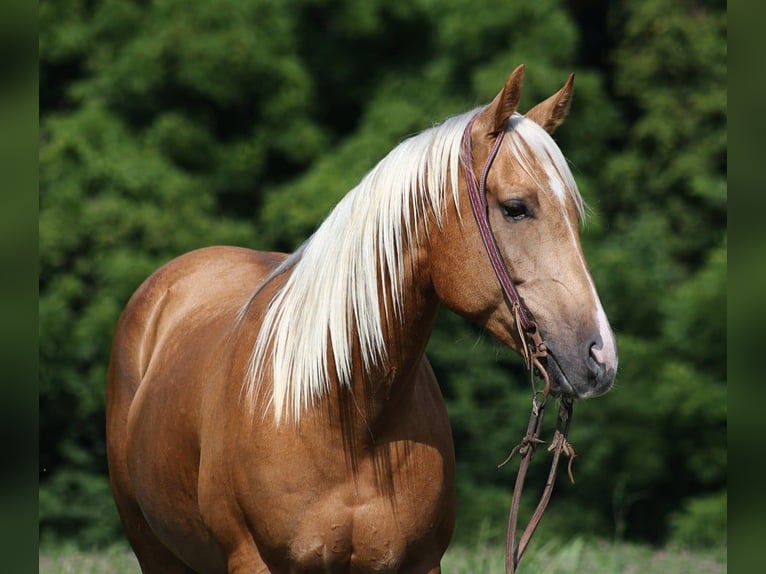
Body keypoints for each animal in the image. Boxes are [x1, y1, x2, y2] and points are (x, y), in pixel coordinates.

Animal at [106, 65, 617, 574]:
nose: (601, 356)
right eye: (516, 208)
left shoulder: (421, 563)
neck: (344, 417)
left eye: (574, 215)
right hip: (153, 549)